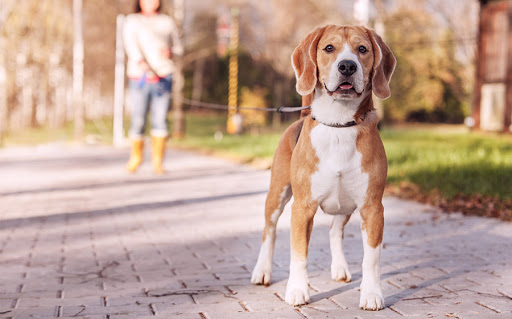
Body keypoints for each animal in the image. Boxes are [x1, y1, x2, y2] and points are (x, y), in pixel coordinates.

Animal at [251, 25, 396, 312]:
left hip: (345, 205)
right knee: (268, 232)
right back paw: (262, 271)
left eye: (362, 49)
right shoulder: (302, 208)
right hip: (277, 194)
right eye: (329, 48)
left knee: (334, 231)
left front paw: (371, 293)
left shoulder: (373, 208)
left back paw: (339, 268)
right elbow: (299, 254)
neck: (339, 125)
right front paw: (297, 290)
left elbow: (371, 258)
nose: (347, 66)